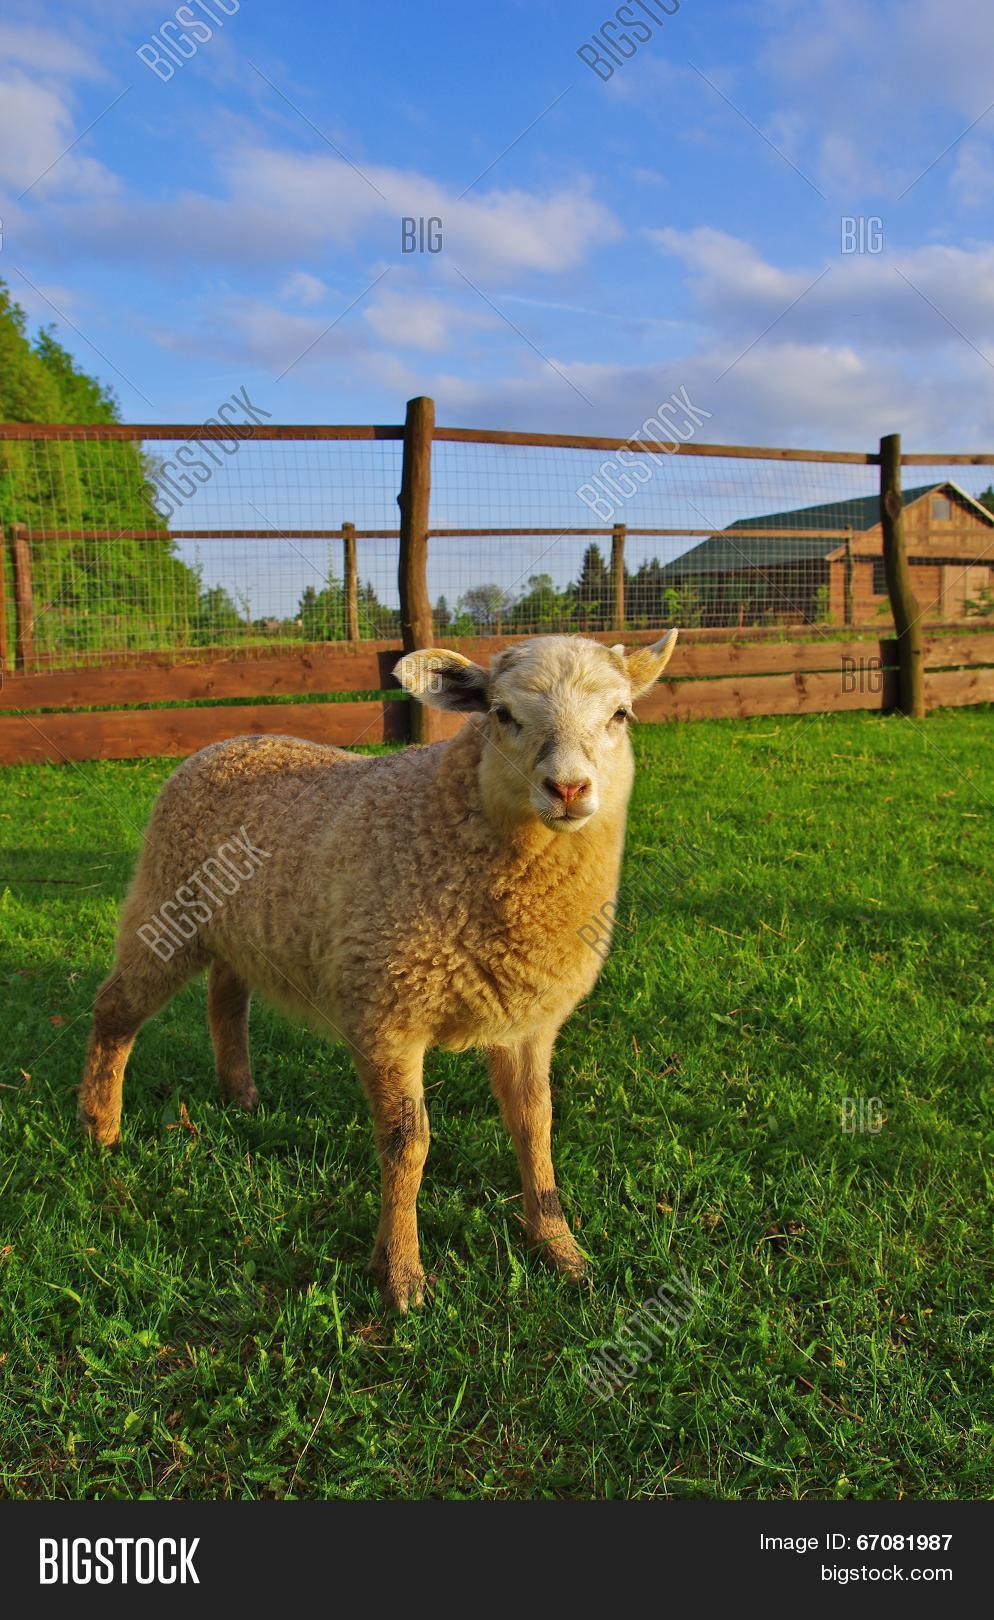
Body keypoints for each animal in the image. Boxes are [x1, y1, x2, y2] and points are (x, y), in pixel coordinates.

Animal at [81, 625, 683, 1308]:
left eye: (621, 715)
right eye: (502, 715)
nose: (569, 789)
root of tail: (228, 742)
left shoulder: (527, 1022)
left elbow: (535, 1127)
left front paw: (560, 1249)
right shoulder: (386, 1012)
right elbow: (406, 1144)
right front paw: (400, 1275)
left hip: (242, 929)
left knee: (226, 997)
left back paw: (240, 1095)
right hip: (165, 903)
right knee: (116, 1008)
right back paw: (100, 1129)